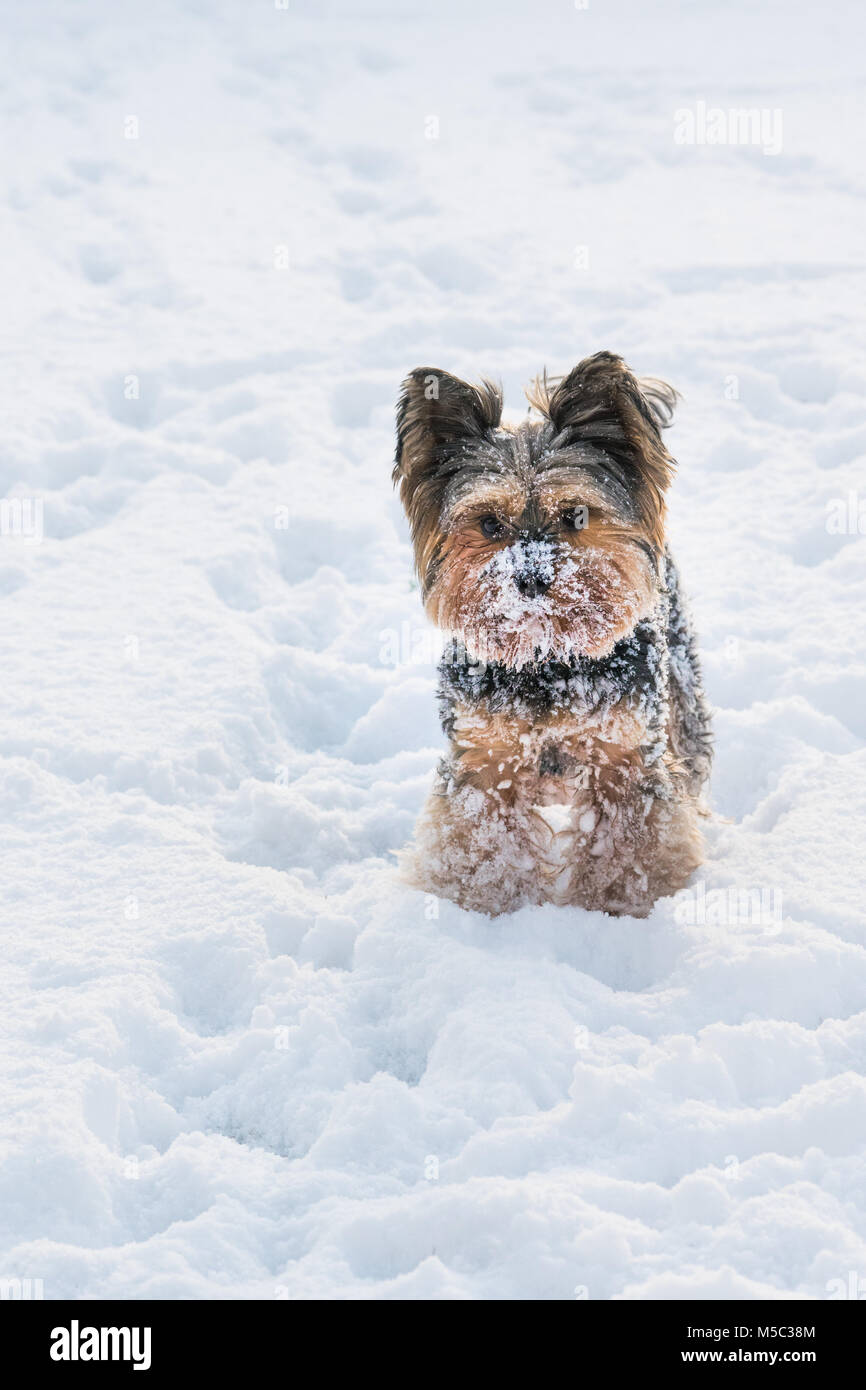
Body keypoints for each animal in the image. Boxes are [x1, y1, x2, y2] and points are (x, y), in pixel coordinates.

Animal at [391, 347, 711, 917]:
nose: (531, 577)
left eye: (575, 515)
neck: (549, 658)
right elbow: (480, 841)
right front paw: (481, 907)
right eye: (489, 524)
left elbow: (629, 846)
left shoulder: (625, 756)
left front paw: (615, 909)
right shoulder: (485, 756)